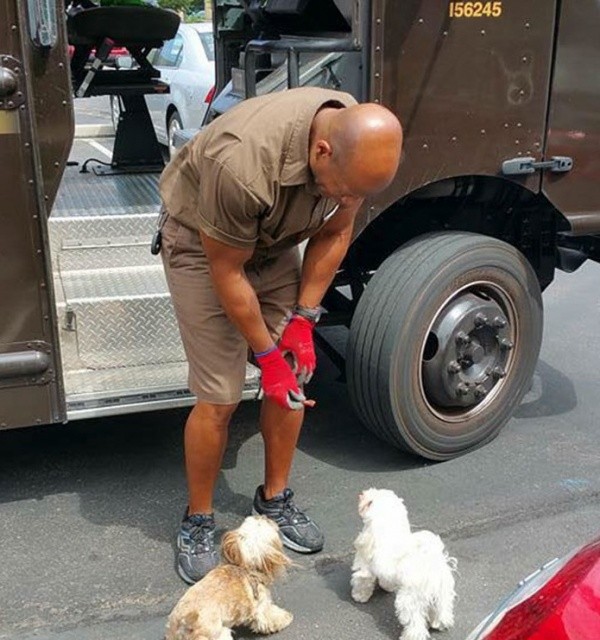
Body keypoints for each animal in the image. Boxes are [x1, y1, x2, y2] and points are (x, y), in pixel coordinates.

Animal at [352, 490, 454, 640]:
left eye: (370, 498)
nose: (362, 493)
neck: (388, 522)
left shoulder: (364, 565)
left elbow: (362, 581)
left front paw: (359, 596)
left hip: (409, 600)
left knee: (415, 621)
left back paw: (411, 636)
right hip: (442, 593)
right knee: (442, 609)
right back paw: (438, 623)